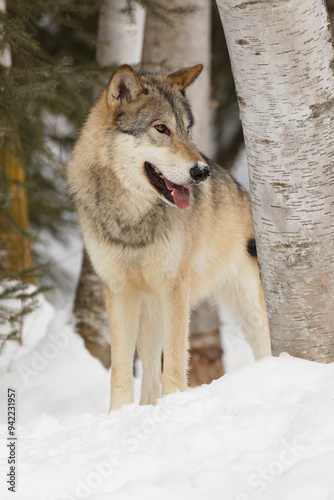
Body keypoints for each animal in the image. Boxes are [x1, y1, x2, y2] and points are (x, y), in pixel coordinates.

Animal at [67, 63, 272, 410]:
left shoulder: (175, 286)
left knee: (264, 343)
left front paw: (174, 406)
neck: (132, 218)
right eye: (161, 128)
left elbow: (175, 365)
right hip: (151, 312)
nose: (201, 172)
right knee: (149, 367)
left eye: (188, 130)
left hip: (248, 305)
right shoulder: (118, 289)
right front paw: (119, 414)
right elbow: (121, 369)